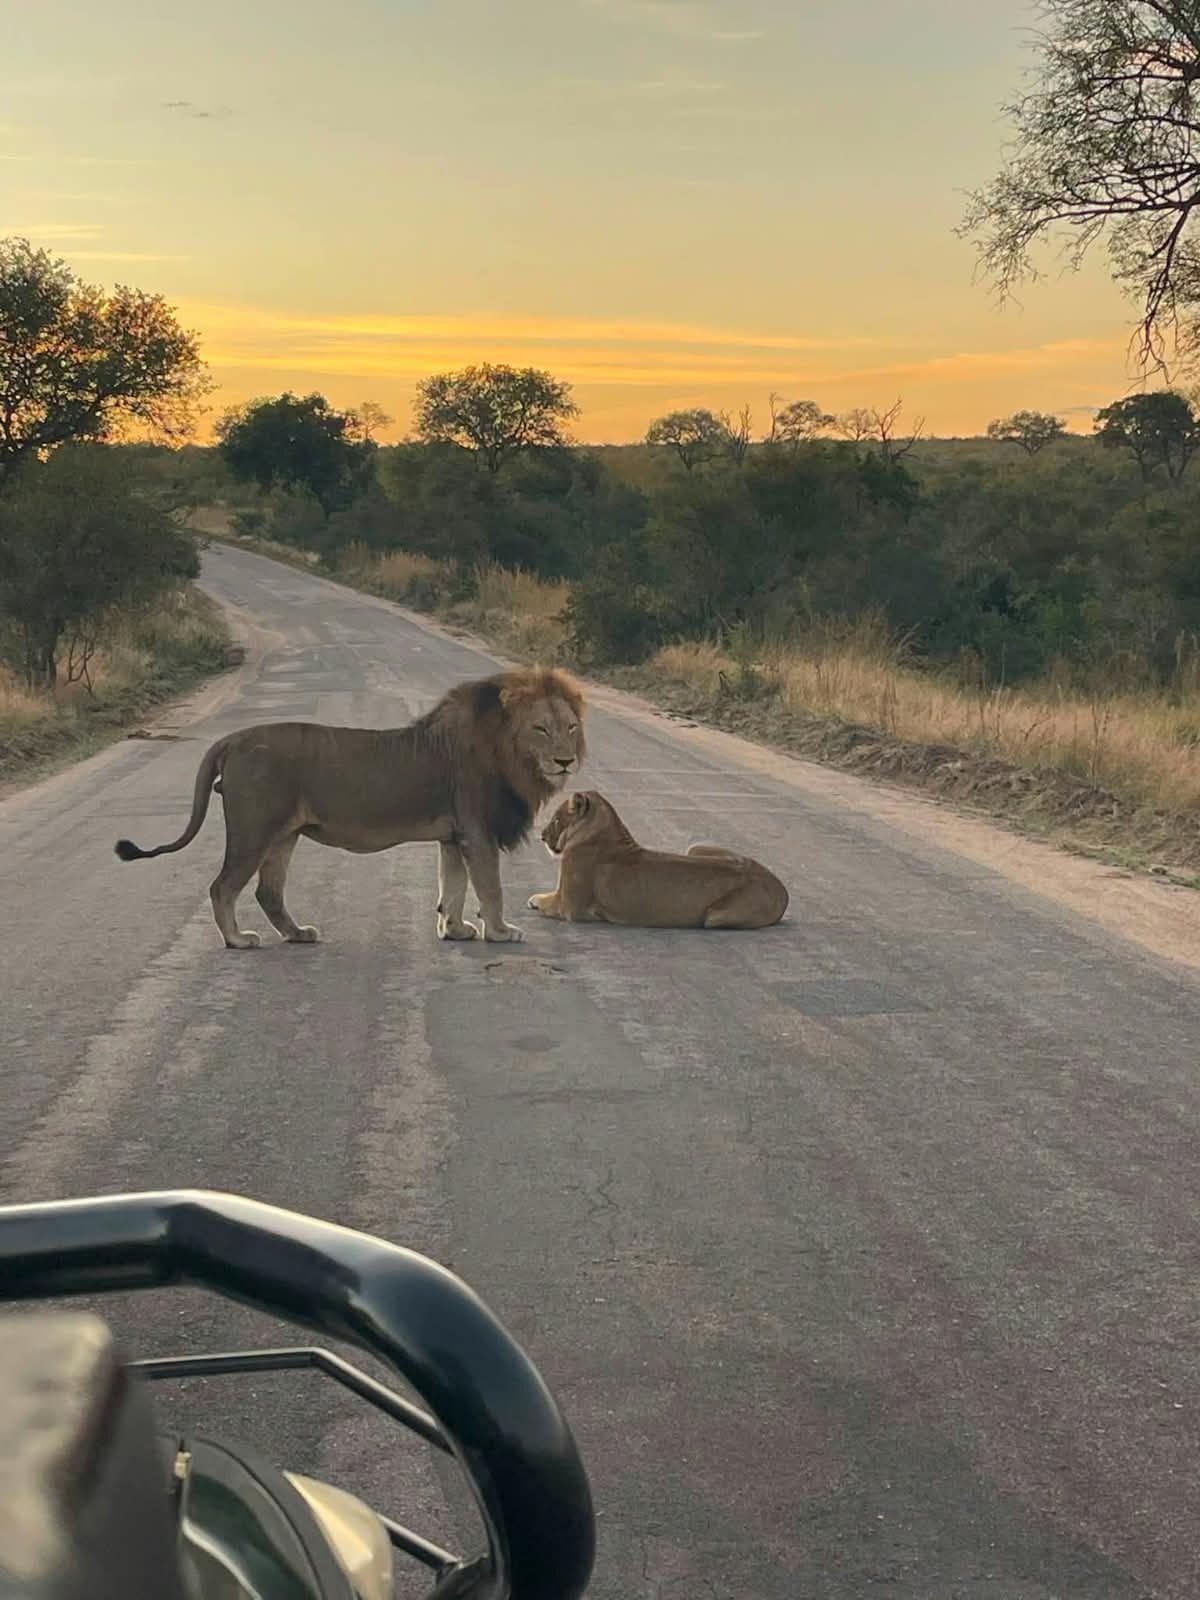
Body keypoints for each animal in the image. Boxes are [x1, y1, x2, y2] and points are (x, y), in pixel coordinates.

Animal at [113, 667, 585, 950]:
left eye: (571, 727)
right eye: (541, 729)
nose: (566, 761)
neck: (508, 755)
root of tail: (232, 739)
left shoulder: (455, 837)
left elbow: (452, 888)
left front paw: (454, 930)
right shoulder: (477, 832)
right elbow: (490, 889)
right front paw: (501, 932)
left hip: (283, 834)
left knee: (268, 892)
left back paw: (298, 934)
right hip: (254, 830)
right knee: (222, 886)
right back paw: (238, 939)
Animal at [528, 789, 788, 929]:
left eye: (556, 819)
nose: (541, 836)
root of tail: (782, 889)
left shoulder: (569, 907)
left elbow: (545, 901)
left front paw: (534, 899)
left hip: (715, 917)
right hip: (695, 847)